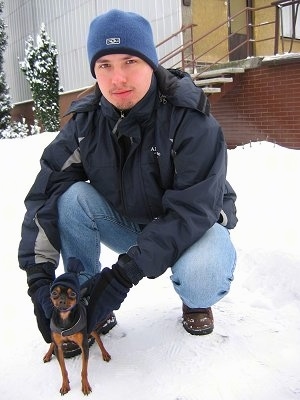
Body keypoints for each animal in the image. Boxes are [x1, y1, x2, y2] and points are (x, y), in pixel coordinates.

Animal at [42, 260, 110, 394]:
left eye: (72, 294)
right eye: (54, 293)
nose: (62, 300)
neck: (65, 320)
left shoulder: (84, 345)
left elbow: (84, 370)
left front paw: (85, 386)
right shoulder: (59, 348)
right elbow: (63, 370)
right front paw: (65, 385)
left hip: (91, 329)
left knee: (98, 339)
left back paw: (105, 354)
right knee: (52, 342)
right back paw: (47, 354)